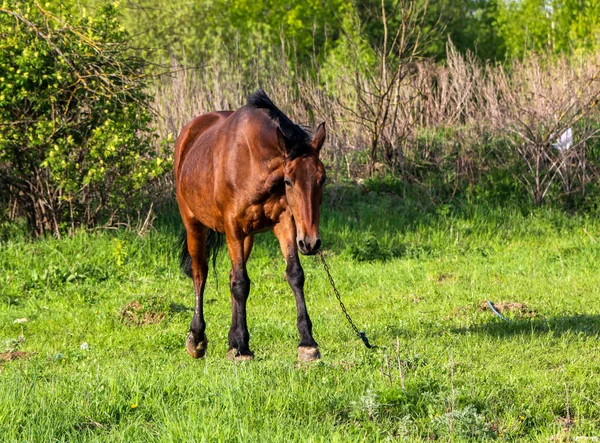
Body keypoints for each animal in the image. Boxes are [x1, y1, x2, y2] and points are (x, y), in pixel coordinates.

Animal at [175, 88, 328, 362]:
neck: (253, 160)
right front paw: (242, 348)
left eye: (323, 178)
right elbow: (240, 284)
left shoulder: (284, 223)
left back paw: (231, 341)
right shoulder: (233, 228)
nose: (310, 242)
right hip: (195, 225)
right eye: (288, 181)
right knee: (200, 273)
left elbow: (294, 275)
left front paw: (307, 343)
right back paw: (197, 338)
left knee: (230, 275)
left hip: (247, 236)